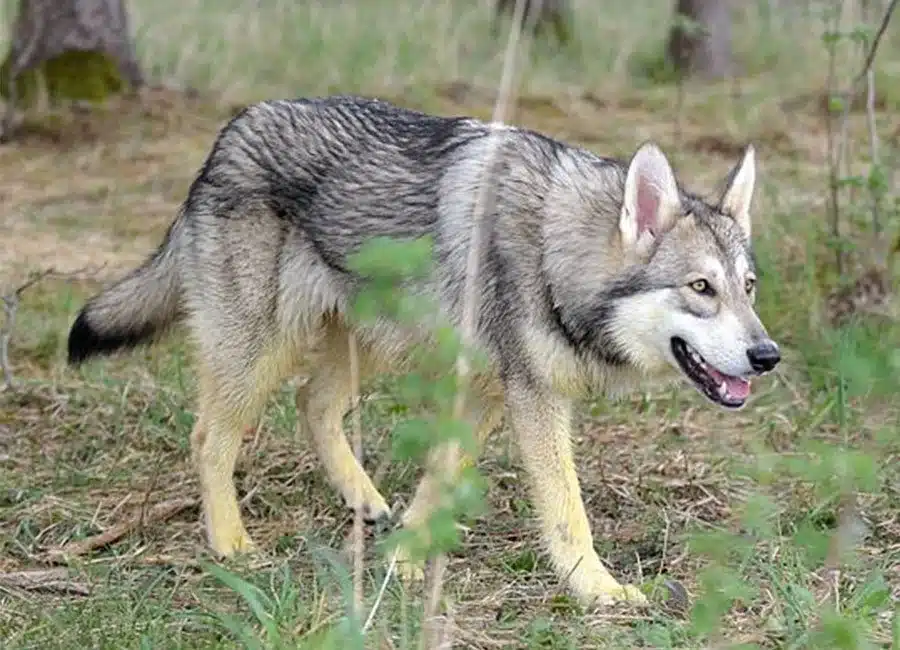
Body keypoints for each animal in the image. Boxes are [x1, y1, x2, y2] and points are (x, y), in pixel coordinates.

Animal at [67, 95, 780, 606]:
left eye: (747, 288)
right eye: (701, 288)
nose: (767, 355)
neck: (554, 254)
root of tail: (231, 131)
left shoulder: (488, 393)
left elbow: (438, 478)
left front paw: (403, 560)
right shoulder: (534, 400)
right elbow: (566, 512)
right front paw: (598, 591)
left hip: (365, 345)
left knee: (312, 404)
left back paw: (363, 501)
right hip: (260, 351)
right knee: (210, 437)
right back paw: (231, 544)